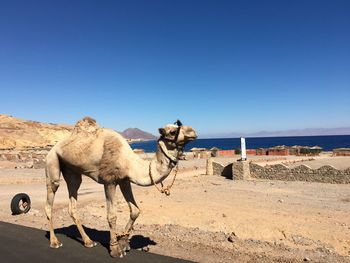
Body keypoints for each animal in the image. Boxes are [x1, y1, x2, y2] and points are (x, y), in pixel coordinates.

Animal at [44, 117, 197, 258]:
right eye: (173, 132)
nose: (193, 131)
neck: (128, 162)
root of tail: (53, 148)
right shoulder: (109, 181)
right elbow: (112, 215)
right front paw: (115, 249)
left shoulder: (124, 181)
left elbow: (135, 210)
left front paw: (123, 243)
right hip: (52, 160)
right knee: (51, 196)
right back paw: (54, 242)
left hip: (72, 171)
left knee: (73, 200)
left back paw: (88, 242)